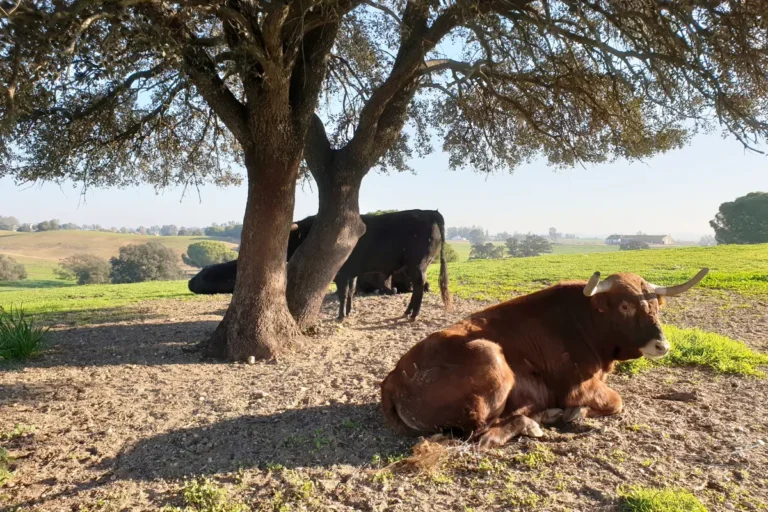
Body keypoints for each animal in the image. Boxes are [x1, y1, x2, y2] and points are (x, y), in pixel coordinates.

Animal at [188, 209, 451, 321]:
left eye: (292, 237)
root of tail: (429, 212)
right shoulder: (351, 272)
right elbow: (350, 293)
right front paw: (349, 312)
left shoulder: (341, 273)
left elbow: (343, 293)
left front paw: (341, 316)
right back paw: (407, 312)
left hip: (417, 266)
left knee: (419, 289)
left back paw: (412, 315)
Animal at [380, 268, 709, 447]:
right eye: (625, 306)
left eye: (655, 305)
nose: (662, 345)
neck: (583, 319)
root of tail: (393, 378)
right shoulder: (578, 386)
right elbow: (615, 401)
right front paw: (576, 413)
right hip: (490, 355)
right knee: (482, 433)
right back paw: (535, 422)